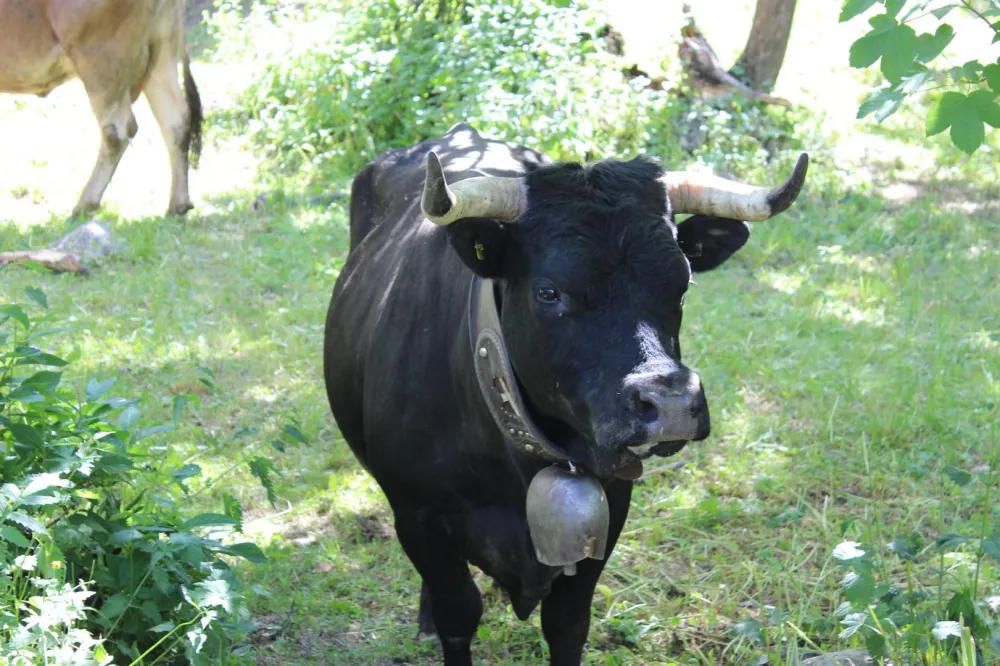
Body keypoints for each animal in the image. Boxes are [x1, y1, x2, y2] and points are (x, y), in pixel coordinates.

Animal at [0, 0, 203, 217]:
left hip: (100, 62)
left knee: (118, 131)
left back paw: (85, 203)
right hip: (161, 52)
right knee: (175, 121)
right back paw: (178, 204)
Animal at [323, 123, 808, 665]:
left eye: (682, 286)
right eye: (549, 292)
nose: (670, 403)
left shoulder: (611, 505)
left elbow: (567, 621)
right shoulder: (417, 515)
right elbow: (458, 614)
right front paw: (437, 620)